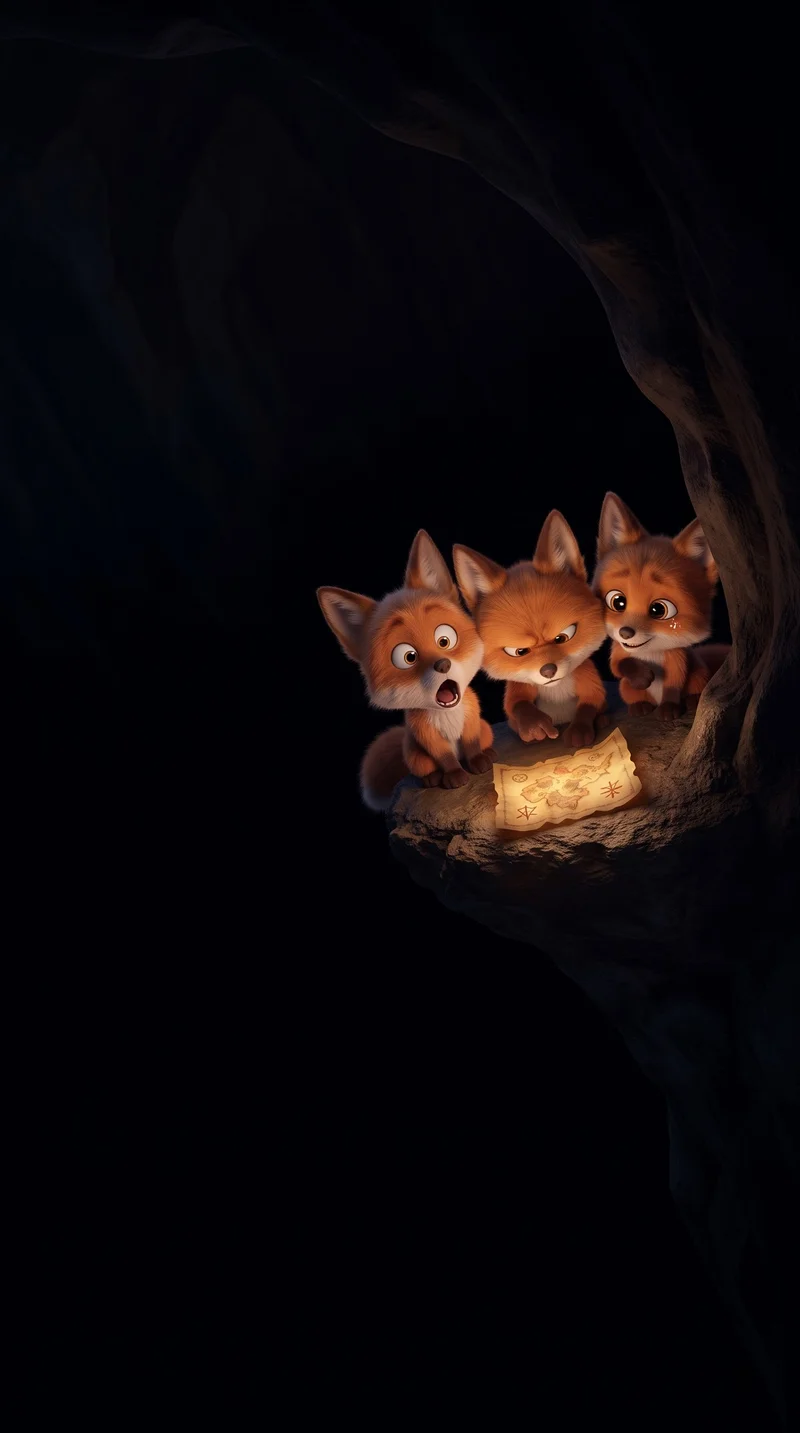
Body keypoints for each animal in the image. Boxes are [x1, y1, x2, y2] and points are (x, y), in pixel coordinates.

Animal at [317, 530, 497, 811]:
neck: (449, 715)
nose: (443, 665)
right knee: (425, 768)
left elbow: (471, 744)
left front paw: (478, 761)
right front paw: (454, 776)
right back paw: (433, 779)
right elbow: (445, 757)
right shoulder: (427, 735)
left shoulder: (471, 717)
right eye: (408, 657)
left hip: (486, 727)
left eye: (444, 640)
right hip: (415, 755)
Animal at [452, 510, 609, 749]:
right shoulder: (518, 688)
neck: (556, 690)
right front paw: (535, 724)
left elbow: (590, 703)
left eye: (563, 636)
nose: (548, 670)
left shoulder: (587, 678)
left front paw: (579, 730)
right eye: (519, 652)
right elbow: (517, 705)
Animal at [593, 491, 731, 719]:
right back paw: (640, 706)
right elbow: (619, 665)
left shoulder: (677, 660)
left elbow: (673, 685)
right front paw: (642, 677)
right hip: (626, 688)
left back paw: (692, 701)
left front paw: (669, 708)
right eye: (617, 601)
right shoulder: (619, 652)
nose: (625, 633)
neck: (650, 654)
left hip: (699, 674)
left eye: (659, 609)